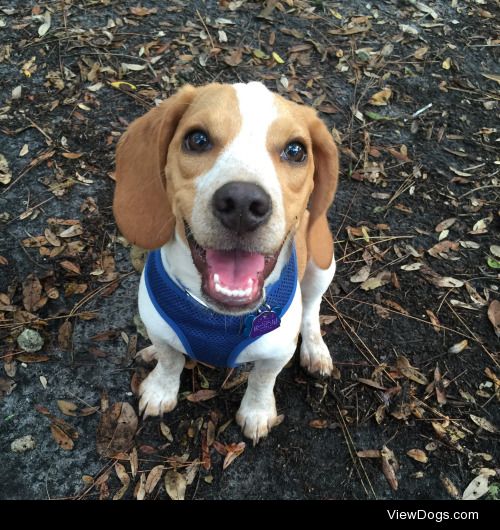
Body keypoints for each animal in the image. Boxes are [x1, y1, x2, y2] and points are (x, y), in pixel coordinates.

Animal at [114, 79, 340, 442]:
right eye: (197, 139)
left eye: (296, 151)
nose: (243, 203)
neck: (216, 316)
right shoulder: (159, 328)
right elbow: (169, 359)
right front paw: (161, 388)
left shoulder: (275, 353)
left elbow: (262, 381)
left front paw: (257, 412)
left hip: (322, 264)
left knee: (311, 308)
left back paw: (315, 350)